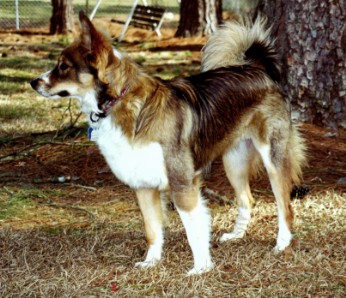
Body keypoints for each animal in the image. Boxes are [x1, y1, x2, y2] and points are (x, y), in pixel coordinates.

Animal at [29, 13, 306, 274]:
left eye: (63, 66)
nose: (33, 82)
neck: (120, 101)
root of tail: (258, 69)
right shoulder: (143, 185)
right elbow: (152, 229)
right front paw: (151, 262)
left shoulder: (182, 182)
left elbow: (194, 229)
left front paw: (201, 268)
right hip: (233, 161)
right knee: (247, 199)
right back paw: (237, 234)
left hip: (273, 159)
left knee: (285, 206)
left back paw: (282, 243)